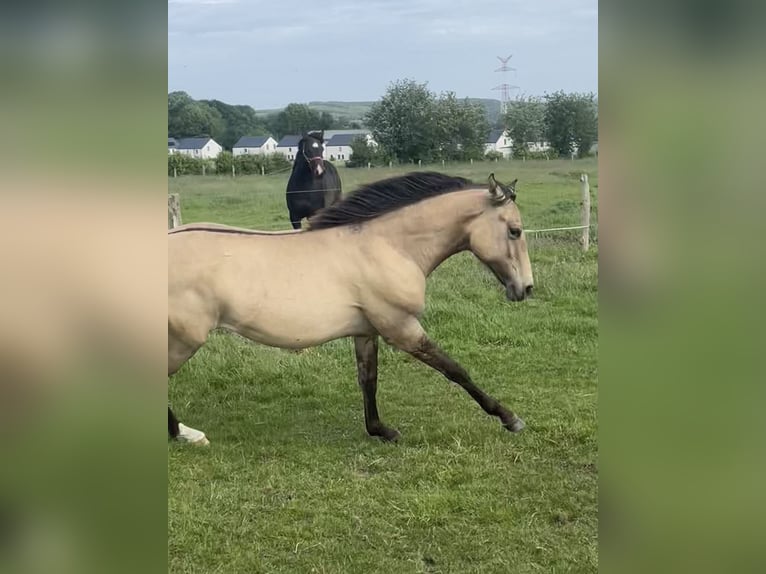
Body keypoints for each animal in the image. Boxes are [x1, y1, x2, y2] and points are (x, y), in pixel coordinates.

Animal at [168, 171, 534, 445]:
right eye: (514, 231)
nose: (526, 289)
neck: (388, 246)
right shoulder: (400, 327)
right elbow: (455, 370)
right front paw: (510, 418)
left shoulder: (366, 330)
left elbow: (368, 379)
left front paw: (381, 430)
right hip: (184, 340)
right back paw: (186, 433)